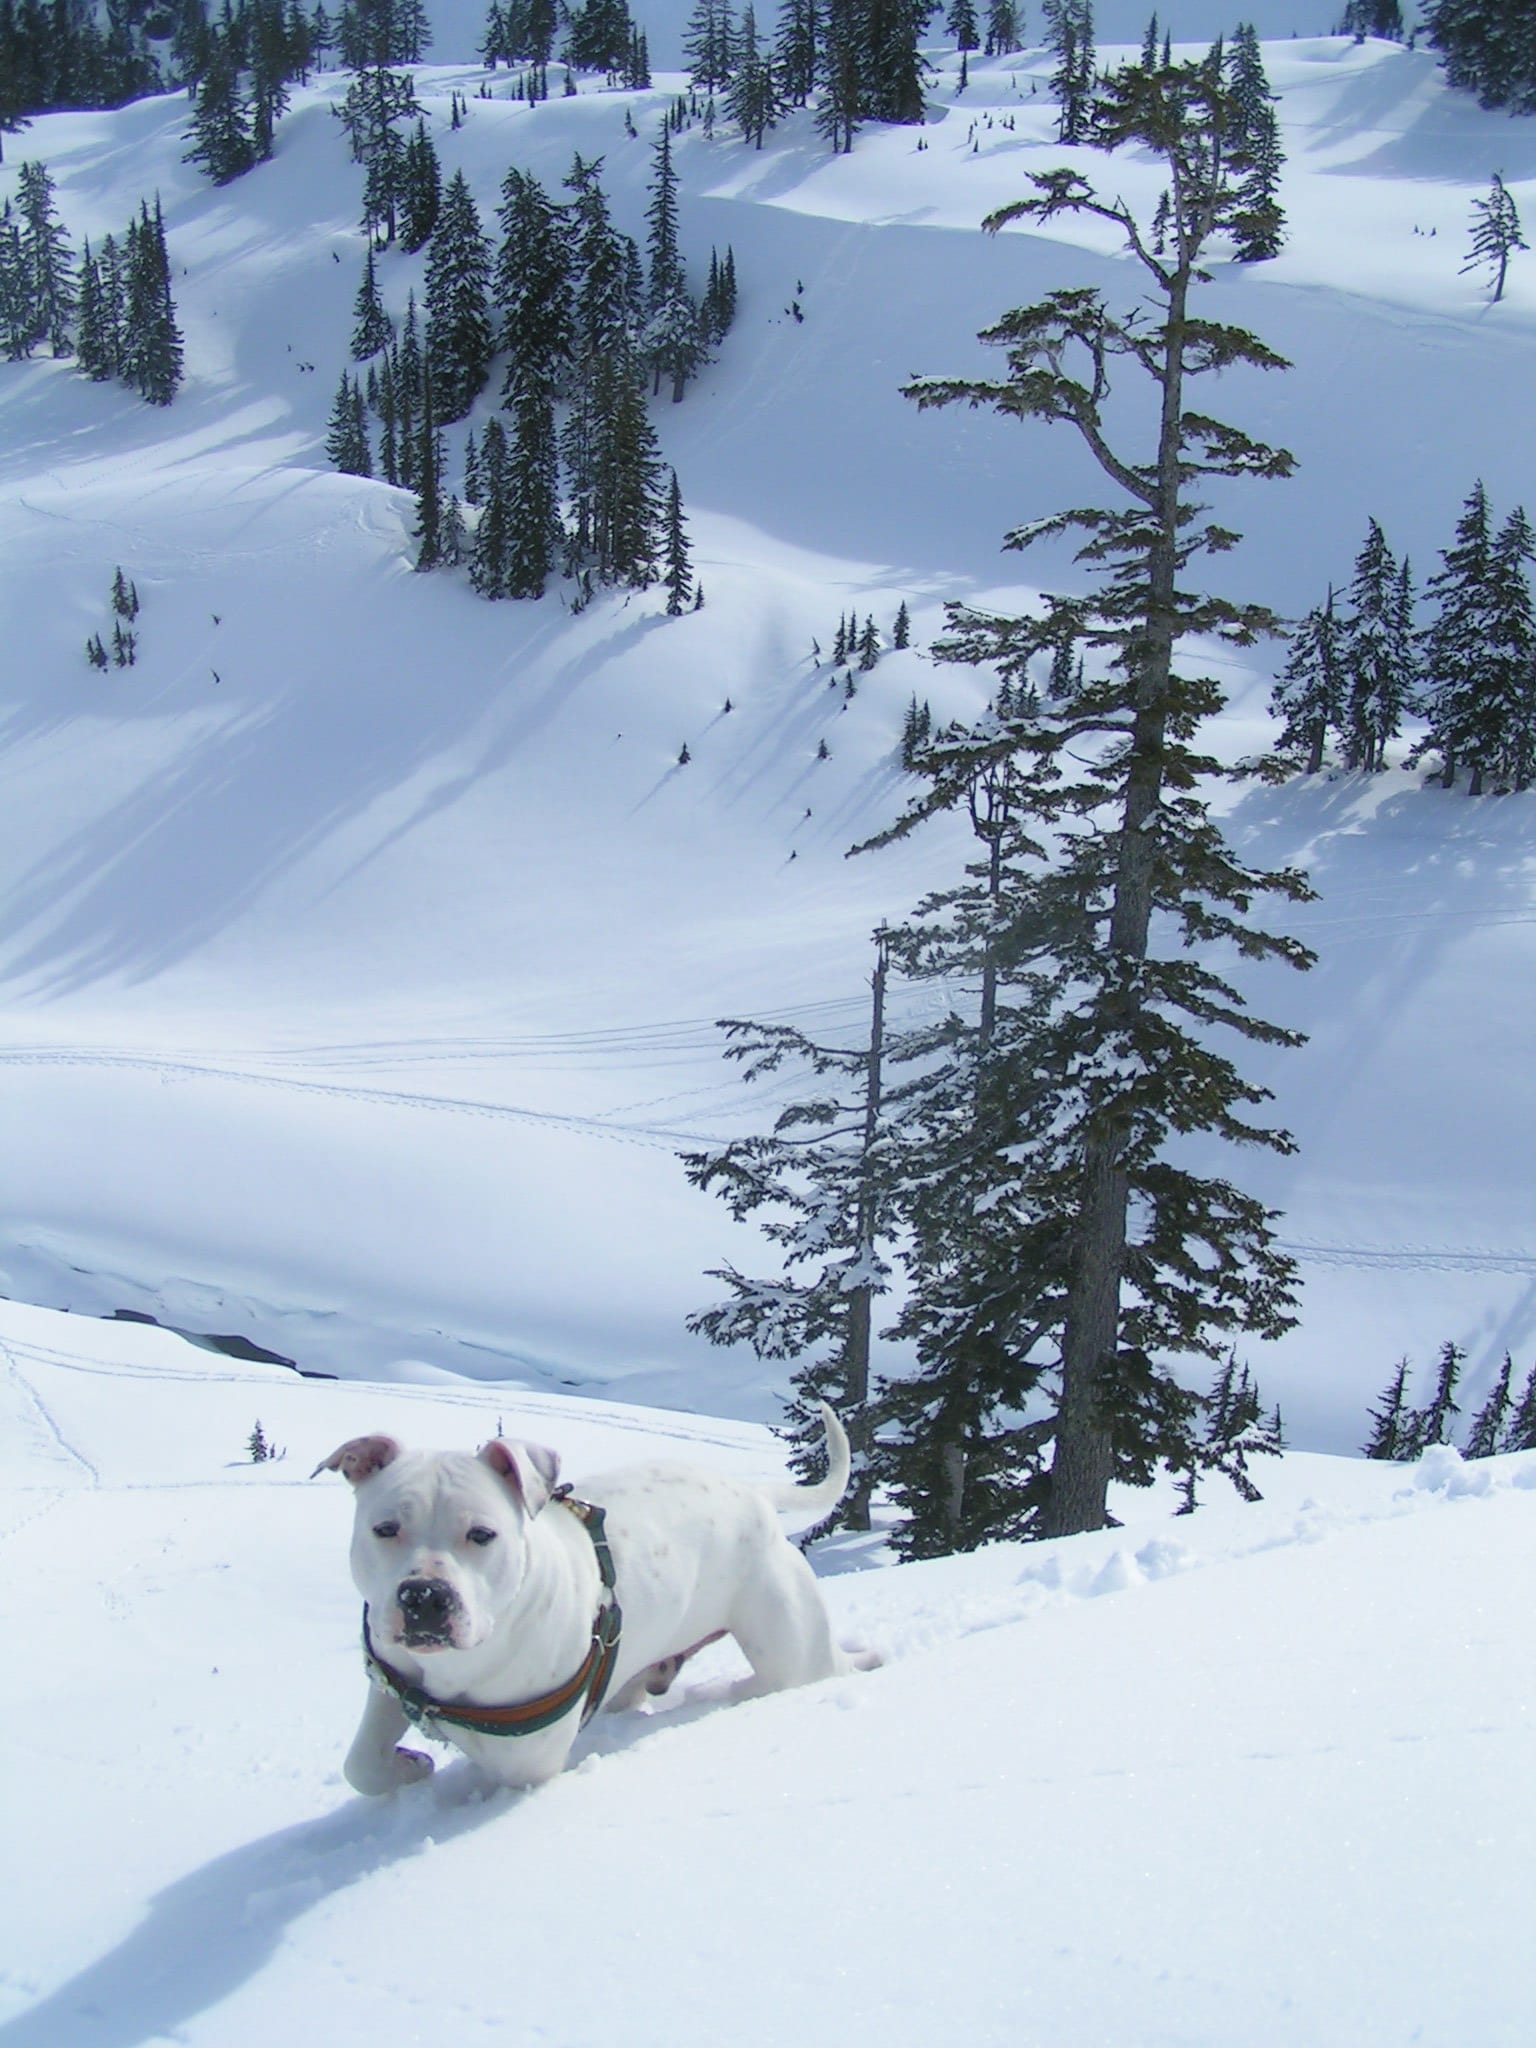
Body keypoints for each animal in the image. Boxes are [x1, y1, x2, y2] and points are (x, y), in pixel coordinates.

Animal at [315, 1409, 876, 1794]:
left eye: (482, 1534)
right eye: (385, 1529)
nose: (425, 1596)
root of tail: (752, 1493)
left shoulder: (527, 1757)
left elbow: (495, 1755)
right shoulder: (391, 1680)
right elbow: (360, 1764)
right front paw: (408, 1765)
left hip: (790, 1648)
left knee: (820, 1667)